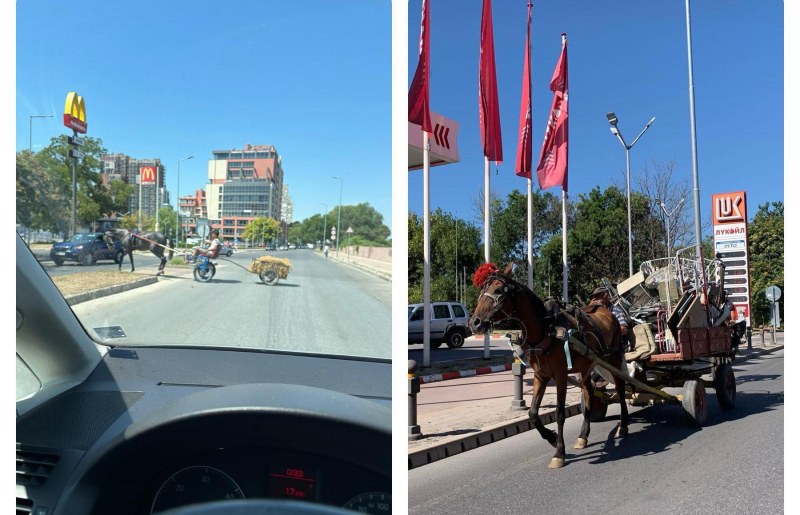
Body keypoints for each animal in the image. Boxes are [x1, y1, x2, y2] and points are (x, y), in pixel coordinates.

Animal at [466, 264, 628, 470]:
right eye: (481, 292)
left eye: (498, 291)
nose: (474, 322)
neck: (546, 330)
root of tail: (608, 311)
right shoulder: (540, 376)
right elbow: (533, 413)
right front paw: (552, 438)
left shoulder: (560, 376)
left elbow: (559, 413)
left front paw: (559, 452)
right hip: (586, 366)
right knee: (588, 394)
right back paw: (583, 435)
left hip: (614, 359)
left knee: (621, 389)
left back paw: (623, 426)